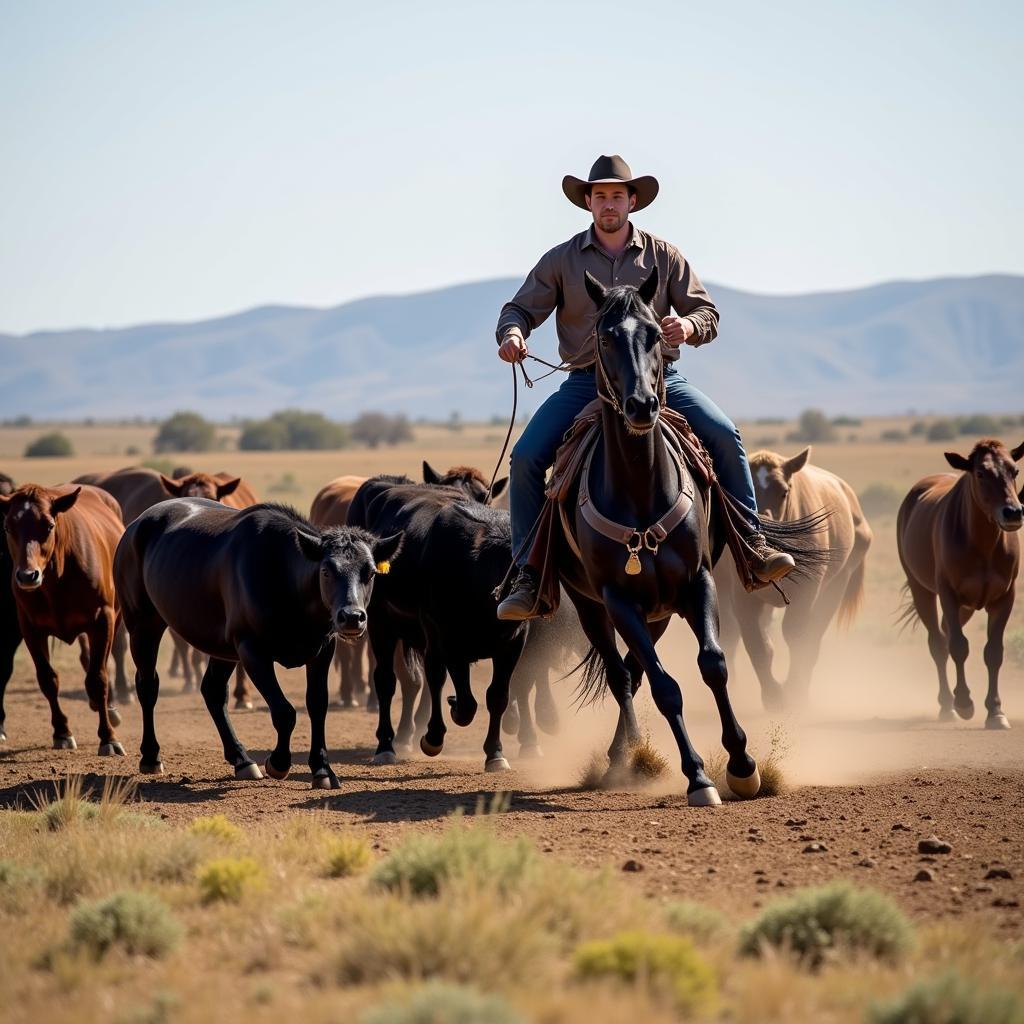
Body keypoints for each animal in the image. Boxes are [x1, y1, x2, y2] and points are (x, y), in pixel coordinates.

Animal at [0, 483, 125, 757]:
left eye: (48, 525)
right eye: (8, 526)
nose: (27, 576)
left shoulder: (103, 620)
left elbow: (98, 677)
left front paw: (108, 738)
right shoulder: (30, 628)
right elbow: (48, 679)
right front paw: (62, 732)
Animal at [113, 499, 399, 786]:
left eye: (370, 572)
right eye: (327, 571)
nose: (352, 617)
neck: (284, 576)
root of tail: (137, 525)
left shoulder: (322, 651)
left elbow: (318, 706)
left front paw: (322, 769)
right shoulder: (252, 651)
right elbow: (284, 712)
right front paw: (278, 762)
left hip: (221, 649)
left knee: (213, 691)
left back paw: (241, 759)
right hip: (142, 625)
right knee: (148, 686)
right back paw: (151, 756)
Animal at [557, 270, 819, 806]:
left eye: (657, 332)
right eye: (605, 337)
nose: (642, 405)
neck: (640, 489)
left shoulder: (698, 582)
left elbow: (713, 664)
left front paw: (742, 764)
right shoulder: (617, 599)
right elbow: (665, 686)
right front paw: (698, 776)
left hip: (656, 612)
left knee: (632, 671)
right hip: (593, 605)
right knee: (622, 675)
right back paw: (625, 755)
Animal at [712, 448, 872, 712]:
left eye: (784, 491)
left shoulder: (807, 593)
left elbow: (797, 637)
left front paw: (794, 691)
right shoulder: (743, 598)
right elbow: (757, 644)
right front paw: (773, 696)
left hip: (835, 588)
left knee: (813, 637)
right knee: (731, 634)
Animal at [897, 440, 1024, 729]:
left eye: (1015, 470)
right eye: (980, 473)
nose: (1013, 513)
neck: (982, 545)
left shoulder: (1004, 598)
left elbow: (994, 652)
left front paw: (996, 712)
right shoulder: (949, 595)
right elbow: (958, 646)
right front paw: (965, 703)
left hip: (966, 607)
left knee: (944, 635)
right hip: (922, 591)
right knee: (938, 643)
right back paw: (948, 705)